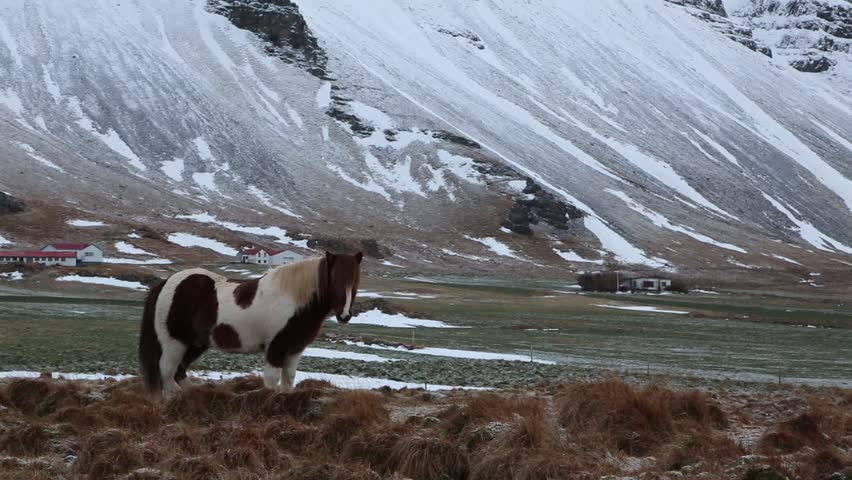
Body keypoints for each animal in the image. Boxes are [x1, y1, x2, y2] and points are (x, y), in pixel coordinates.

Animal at [138, 251, 362, 400]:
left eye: (355, 281)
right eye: (334, 279)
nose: (344, 315)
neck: (293, 299)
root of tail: (165, 284)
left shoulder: (295, 349)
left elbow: (288, 380)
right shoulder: (275, 347)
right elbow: (271, 381)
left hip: (195, 344)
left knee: (179, 371)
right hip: (175, 342)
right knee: (167, 370)